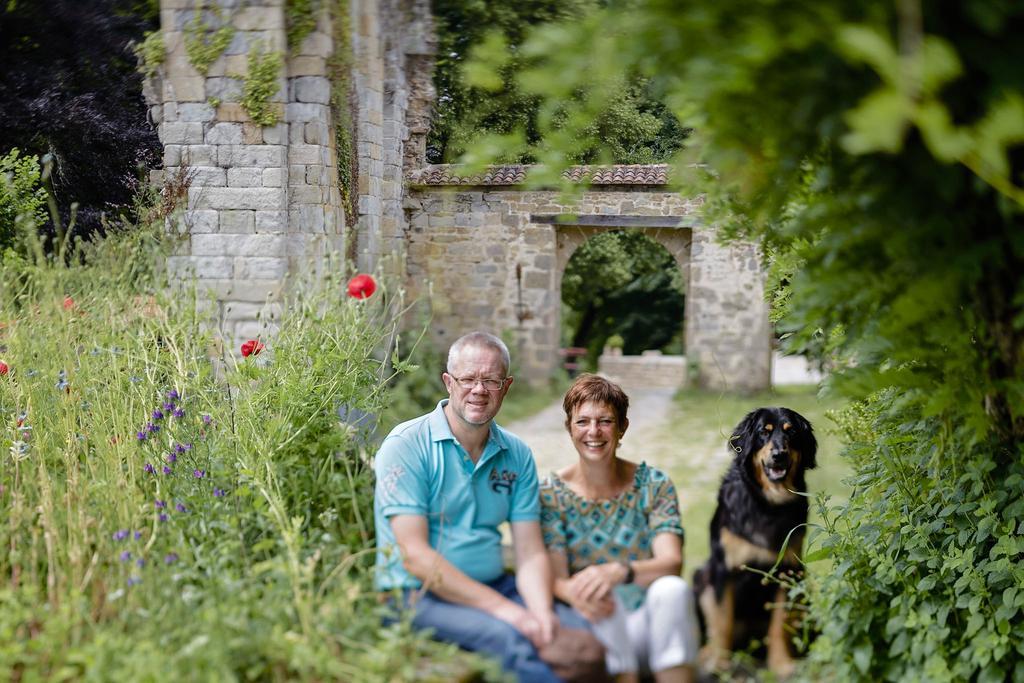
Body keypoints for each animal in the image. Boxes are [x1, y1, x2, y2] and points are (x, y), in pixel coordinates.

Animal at [692, 405, 819, 679]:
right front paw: (720, 664)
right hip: (701, 576)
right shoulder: (723, 569)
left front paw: (781, 664)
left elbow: (779, 624)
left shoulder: (787, 571)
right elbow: (722, 621)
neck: (767, 503)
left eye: (791, 432)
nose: (779, 455)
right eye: (764, 432)